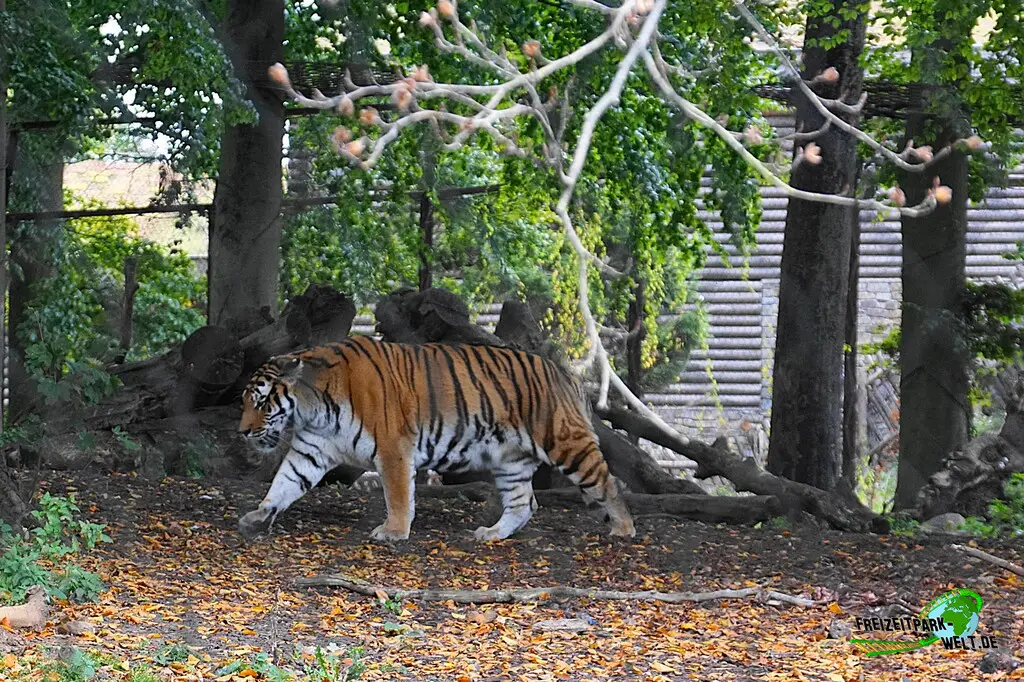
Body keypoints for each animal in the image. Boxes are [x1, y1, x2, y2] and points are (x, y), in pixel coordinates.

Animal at [236, 335, 635, 542]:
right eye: (245, 401)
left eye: (260, 402)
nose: (243, 431)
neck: (313, 406)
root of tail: (564, 374)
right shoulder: (311, 449)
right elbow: (284, 483)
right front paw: (258, 515)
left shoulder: (393, 447)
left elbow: (398, 495)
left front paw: (394, 531)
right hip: (511, 460)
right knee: (524, 503)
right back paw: (491, 533)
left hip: (565, 443)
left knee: (608, 482)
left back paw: (623, 527)